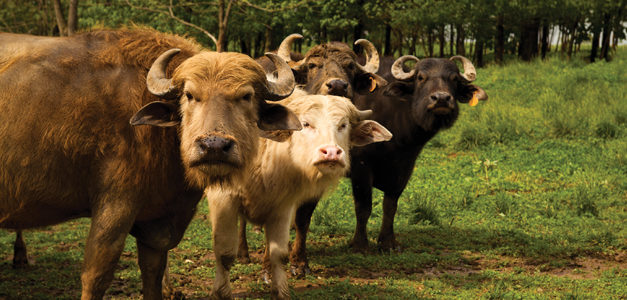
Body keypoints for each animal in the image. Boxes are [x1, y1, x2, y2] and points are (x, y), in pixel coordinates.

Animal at [0, 28, 300, 300]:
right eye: (189, 95)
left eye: (246, 96)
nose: (214, 146)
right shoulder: (115, 206)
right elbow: (96, 276)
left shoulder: (156, 223)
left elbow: (153, 276)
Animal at [207, 93, 392, 298]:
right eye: (306, 124)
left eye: (343, 125)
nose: (332, 152)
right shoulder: (223, 195)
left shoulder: (287, 200)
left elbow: (290, 232)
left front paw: (288, 268)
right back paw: (243, 253)